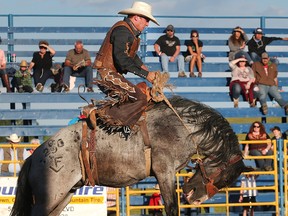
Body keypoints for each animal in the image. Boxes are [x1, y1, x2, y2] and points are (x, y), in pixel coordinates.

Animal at [10, 96, 251, 216]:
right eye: (224, 177)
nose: (194, 198)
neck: (183, 127)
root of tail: (35, 156)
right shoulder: (164, 172)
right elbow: (171, 207)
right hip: (48, 197)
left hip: (63, 196)